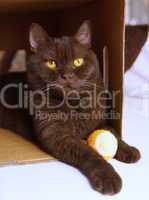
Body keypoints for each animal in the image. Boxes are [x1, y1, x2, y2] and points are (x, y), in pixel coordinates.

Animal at [0, 21, 140, 195]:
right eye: (51, 63)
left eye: (78, 62)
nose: (67, 75)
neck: (73, 104)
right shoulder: (57, 135)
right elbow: (88, 152)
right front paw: (108, 178)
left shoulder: (99, 121)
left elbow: (113, 133)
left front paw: (130, 150)